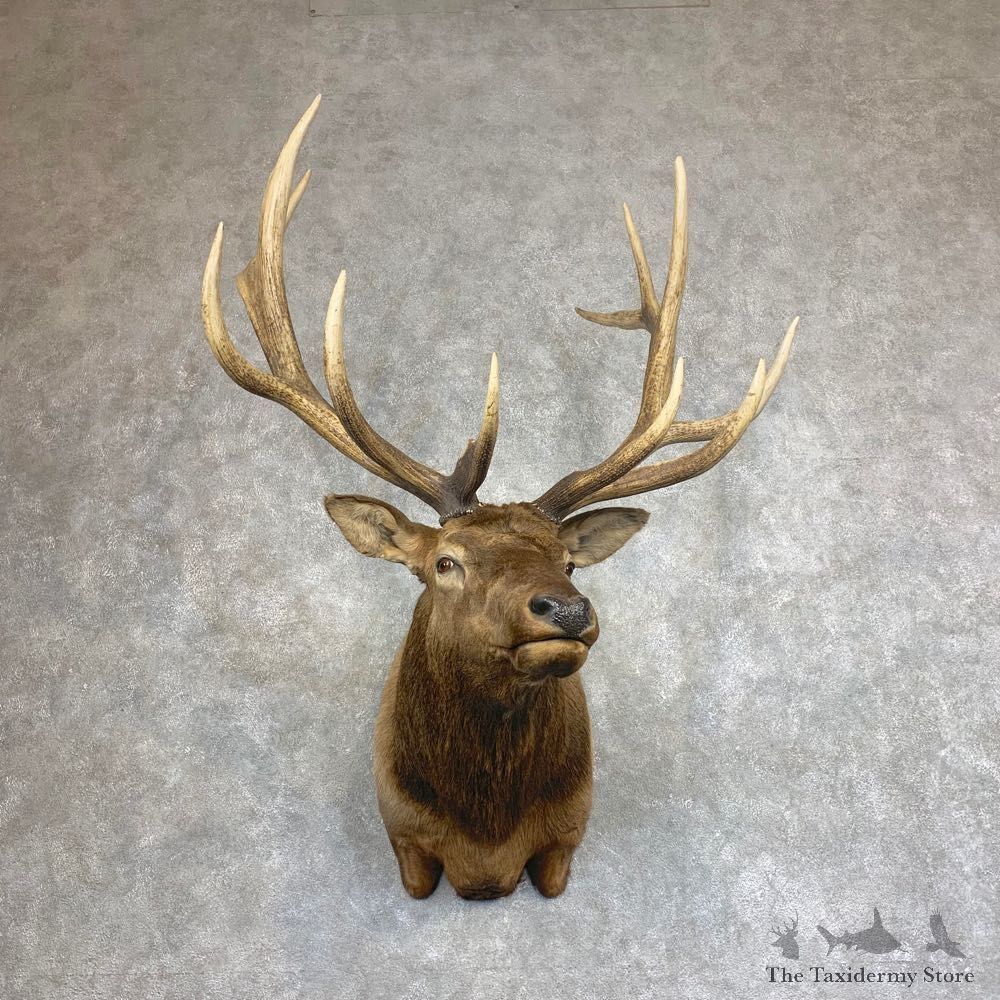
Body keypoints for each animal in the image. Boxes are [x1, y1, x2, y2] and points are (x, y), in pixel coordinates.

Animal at [200, 96, 799, 900]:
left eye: (569, 562)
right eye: (445, 562)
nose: (566, 611)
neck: (485, 844)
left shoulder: (566, 836)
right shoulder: (405, 840)